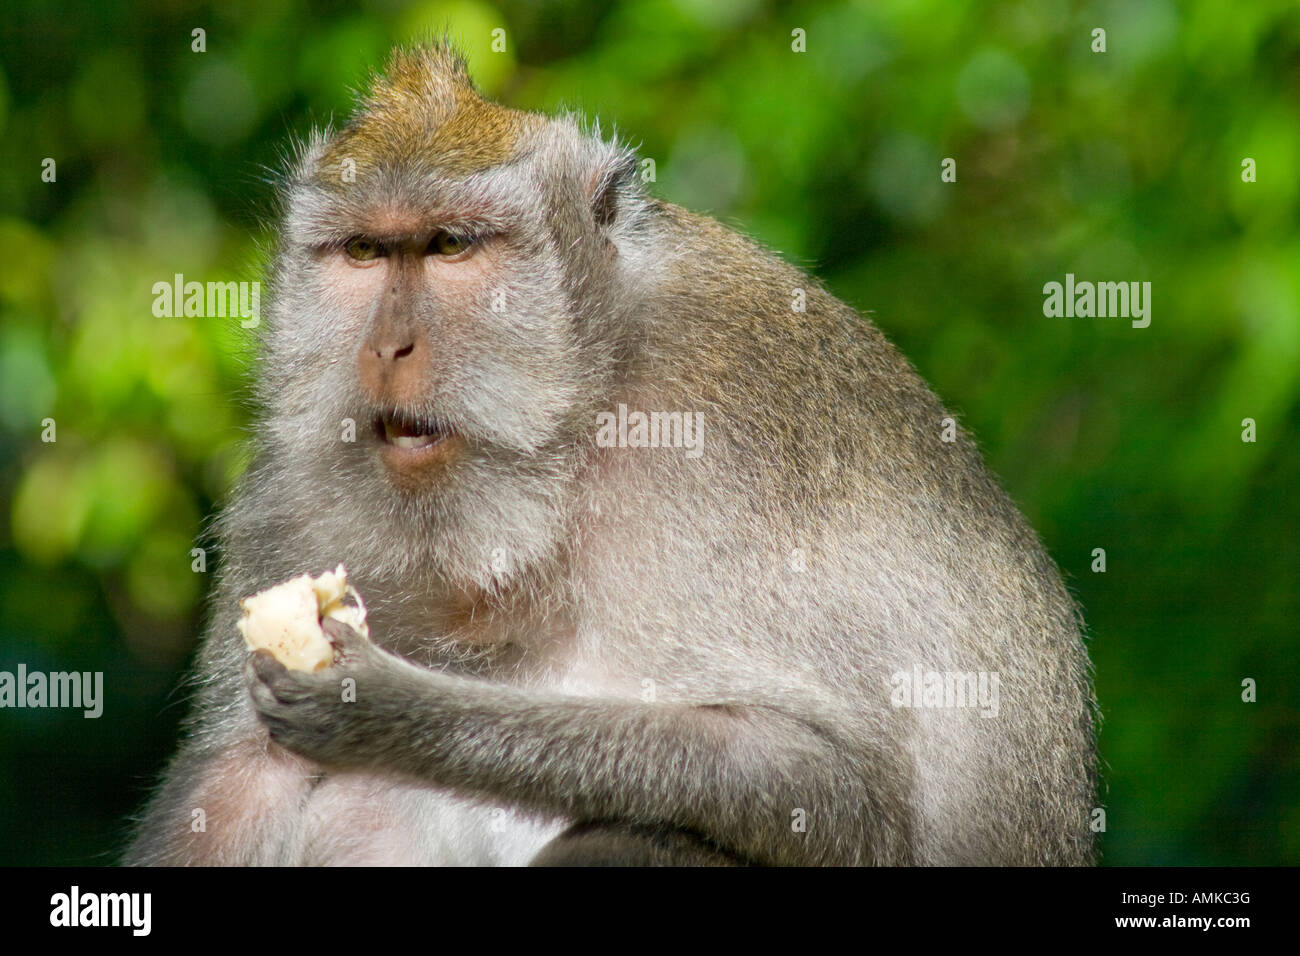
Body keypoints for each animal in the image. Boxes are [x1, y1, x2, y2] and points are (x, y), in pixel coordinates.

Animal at [125, 42, 1097, 867]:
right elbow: (238, 782)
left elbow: (833, 786)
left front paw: (392, 709)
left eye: (450, 245)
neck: (581, 412)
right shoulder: (289, 490)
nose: (387, 347)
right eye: (364, 250)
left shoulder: (719, 441)